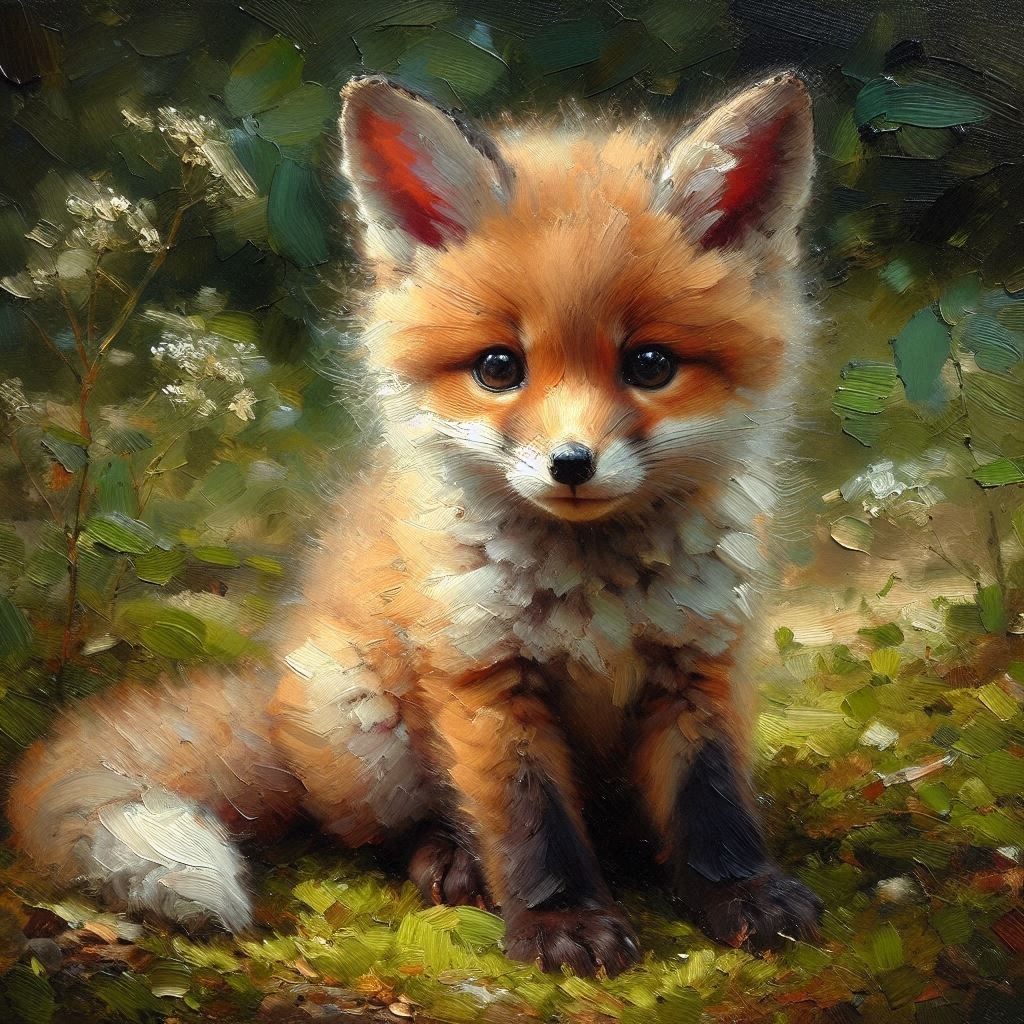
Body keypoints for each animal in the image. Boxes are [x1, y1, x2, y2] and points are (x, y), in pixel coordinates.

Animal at [7, 72, 823, 978]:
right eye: (499, 367)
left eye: (650, 365)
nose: (571, 465)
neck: (594, 596)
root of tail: (275, 704)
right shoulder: (483, 677)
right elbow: (530, 824)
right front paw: (561, 923)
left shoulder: (698, 664)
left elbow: (713, 808)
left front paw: (741, 897)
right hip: (365, 725)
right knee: (378, 832)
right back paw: (450, 859)